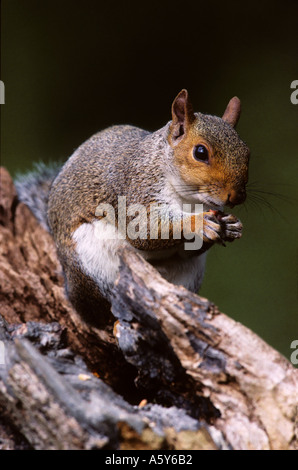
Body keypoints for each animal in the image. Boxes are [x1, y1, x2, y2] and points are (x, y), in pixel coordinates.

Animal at [15, 90, 249, 328]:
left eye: (247, 152)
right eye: (200, 152)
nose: (237, 196)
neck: (189, 198)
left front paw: (231, 226)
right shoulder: (134, 190)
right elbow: (144, 230)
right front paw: (198, 223)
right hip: (90, 264)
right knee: (96, 312)